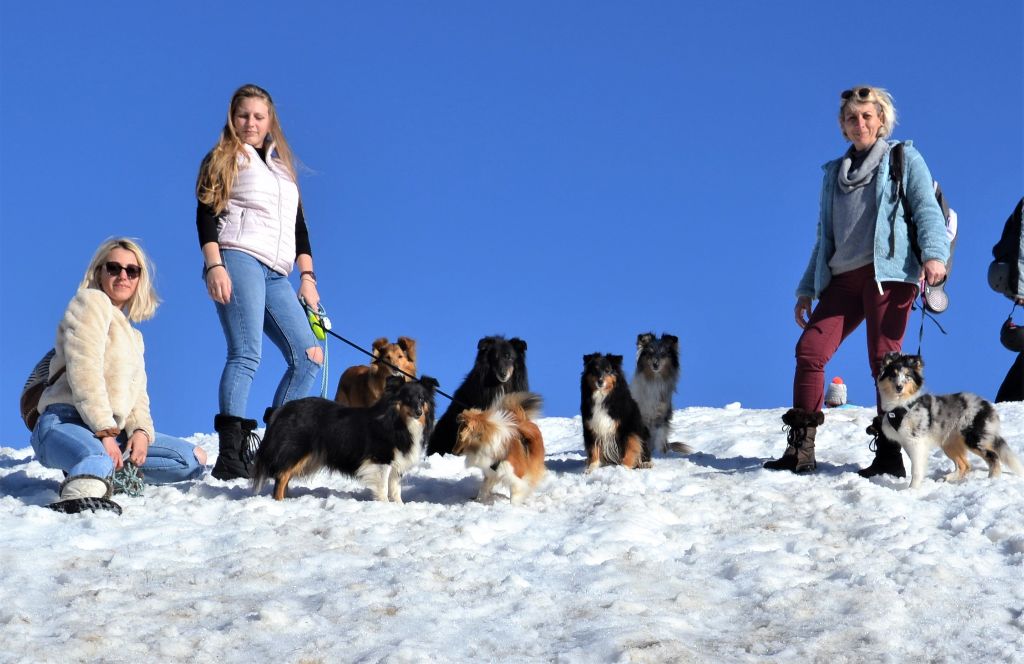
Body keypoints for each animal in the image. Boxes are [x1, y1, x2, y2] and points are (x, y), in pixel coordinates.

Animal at [253, 377, 438, 500]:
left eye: (421, 398)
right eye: (407, 398)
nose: (418, 412)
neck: (397, 421)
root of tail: (283, 409)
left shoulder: (397, 462)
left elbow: (395, 488)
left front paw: (398, 507)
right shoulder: (380, 459)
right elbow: (383, 486)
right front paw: (384, 505)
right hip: (296, 449)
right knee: (281, 476)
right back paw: (279, 502)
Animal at [872, 352, 1024, 487]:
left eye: (907, 376)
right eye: (893, 375)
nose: (899, 387)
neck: (901, 404)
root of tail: (986, 405)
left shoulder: (916, 441)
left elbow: (916, 469)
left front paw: (911, 490)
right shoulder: (907, 442)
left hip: (972, 437)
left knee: (993, 456)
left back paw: (992, 479)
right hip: (949, 443)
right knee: (965, 465)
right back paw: (948, 478)